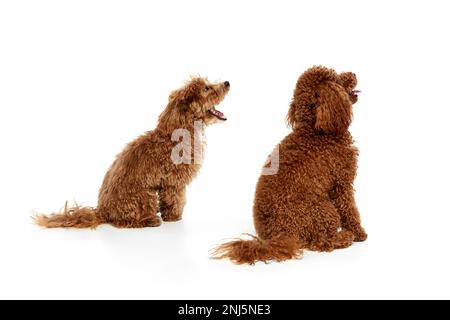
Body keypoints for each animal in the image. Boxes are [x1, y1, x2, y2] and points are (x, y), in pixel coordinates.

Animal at [35, 77, 230, 228]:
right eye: (206, 88)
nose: (227, 83)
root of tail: (103, 211)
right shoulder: (174, 182)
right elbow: (175, 199)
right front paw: (174, 217)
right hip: (144, 196)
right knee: (128, 221)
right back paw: (151, 220)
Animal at [211, 66, 366, 264]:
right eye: (336, 78)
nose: (353, 73)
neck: (316, 130)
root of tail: (278, 237)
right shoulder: (341, 184)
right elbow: (350, 210)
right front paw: (359, 233)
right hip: (324, 211)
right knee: (321, 242)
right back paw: (345, 237)